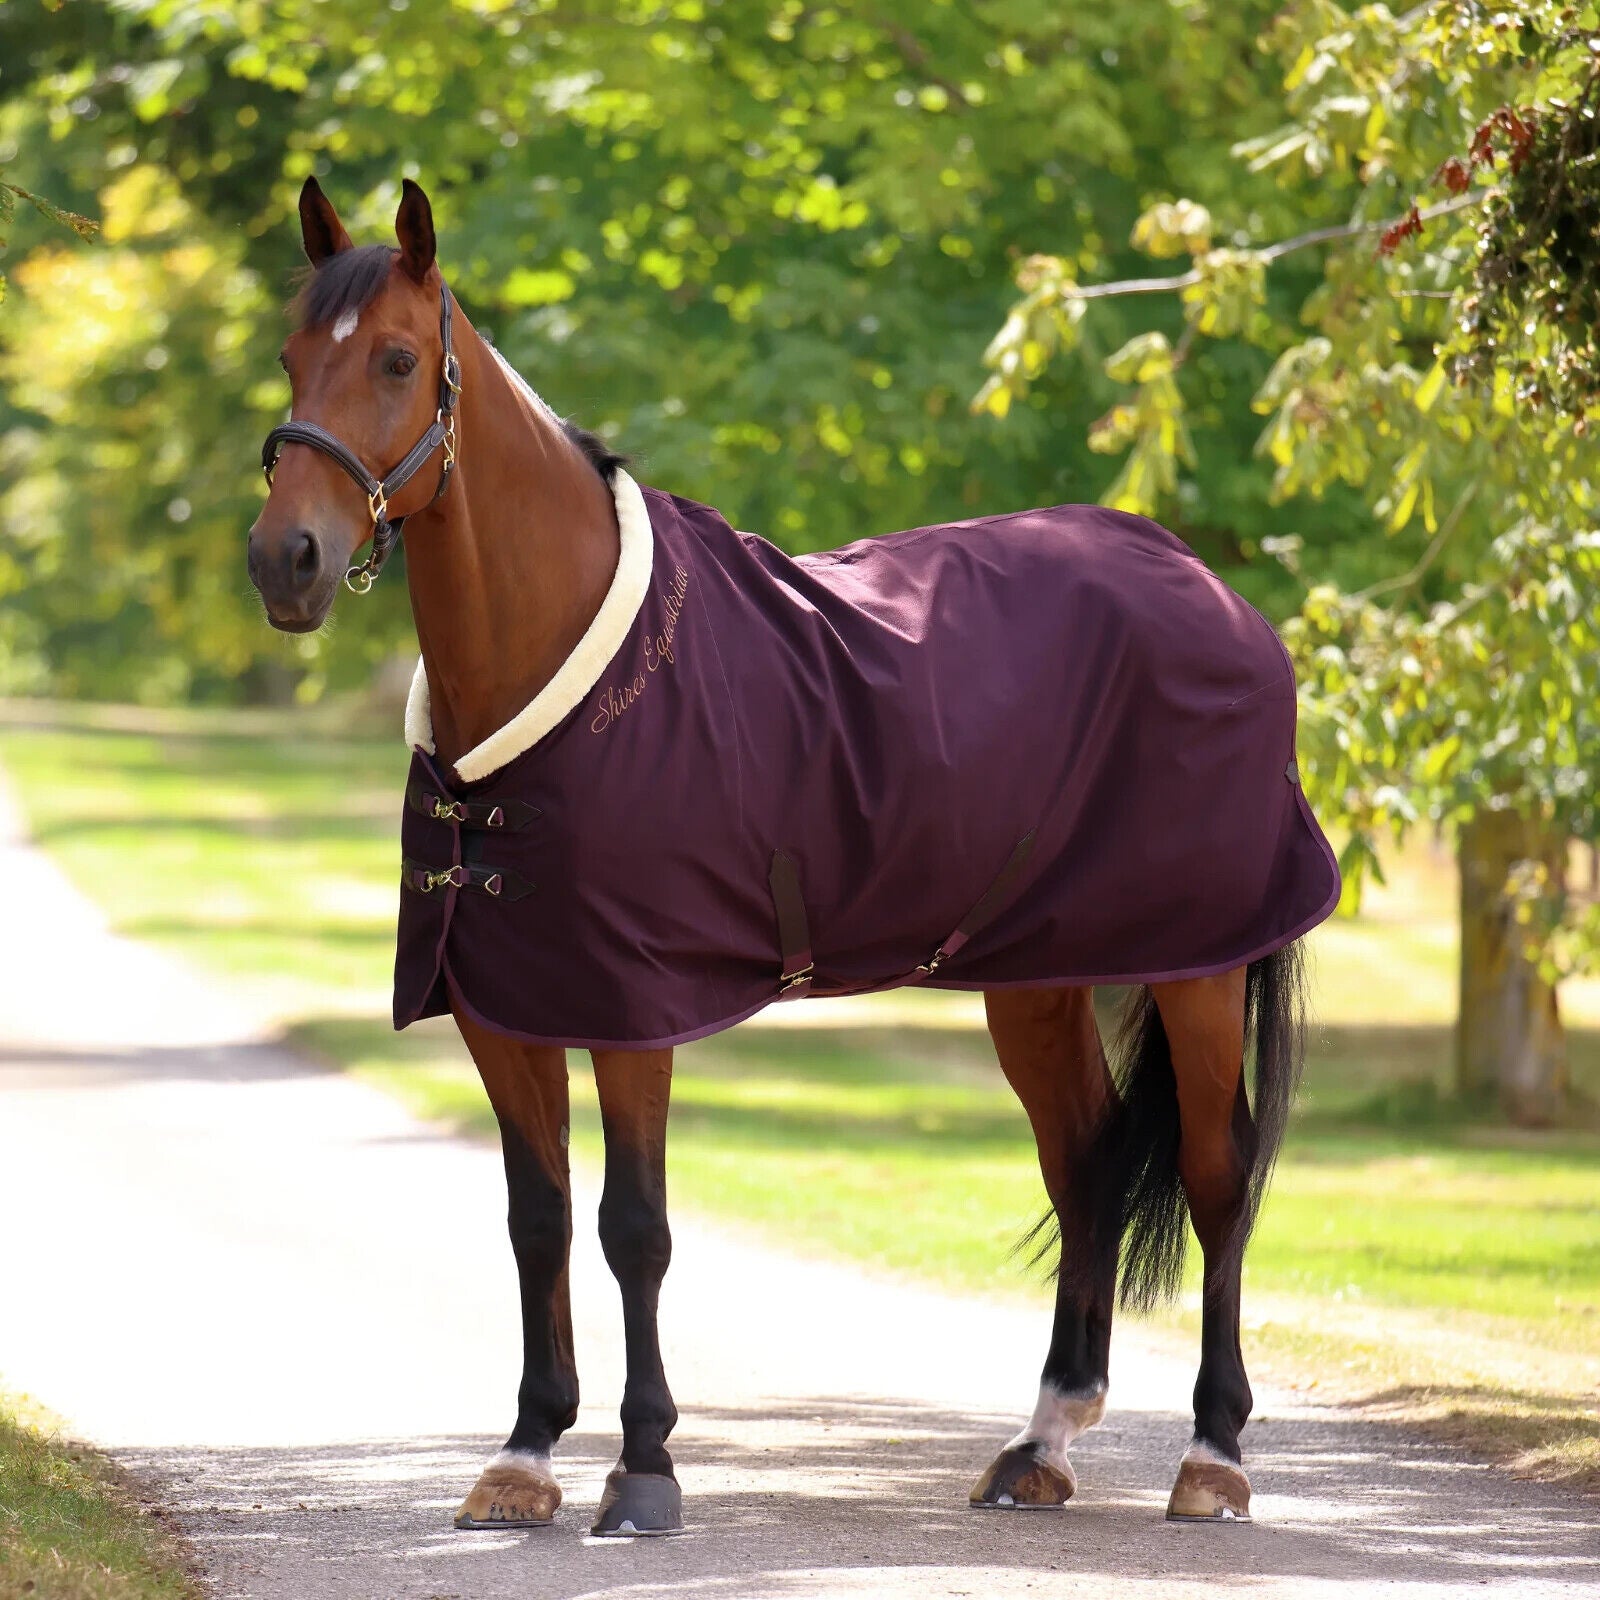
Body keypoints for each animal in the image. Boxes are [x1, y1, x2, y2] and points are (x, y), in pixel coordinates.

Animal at [247, 176, 1338, 1538]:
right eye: (290, 358)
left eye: (396, 359)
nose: (284, 561)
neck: (560, 655)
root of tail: (1208, 584)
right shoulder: (503, 1008)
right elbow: (536, 1218)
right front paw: (526, 1455)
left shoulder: (633, 1008)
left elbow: (634, 1226)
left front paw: (643, 1469)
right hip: (1034, 978)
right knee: (1084, 1160)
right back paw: (1040, 1442)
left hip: (1197, 963)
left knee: (1216, 1171)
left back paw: (1213, 1456)